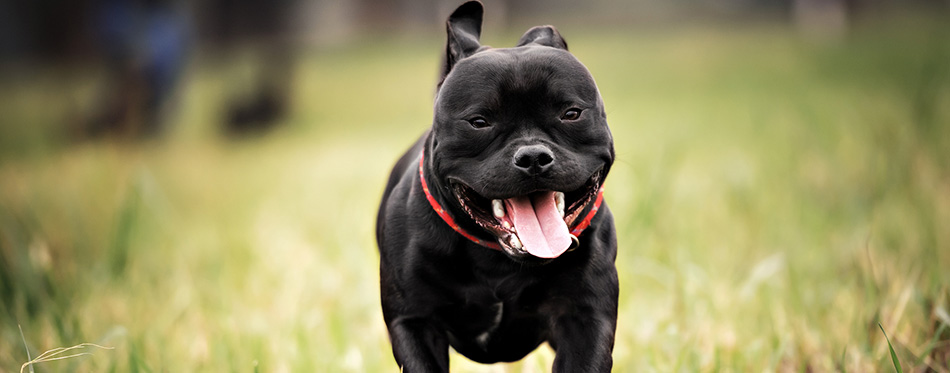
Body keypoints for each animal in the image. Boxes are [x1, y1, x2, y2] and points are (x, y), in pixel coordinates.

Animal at [376, 2, 620, 370]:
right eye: (479, 122)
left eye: (571, 113)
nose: (533, 157)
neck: (498, 261)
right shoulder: (415, 322)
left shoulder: (585, 319)